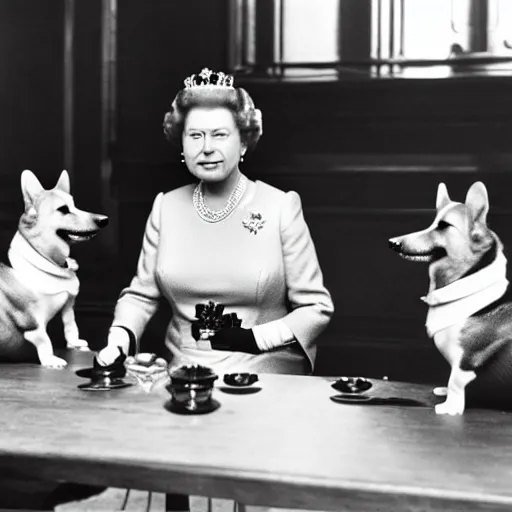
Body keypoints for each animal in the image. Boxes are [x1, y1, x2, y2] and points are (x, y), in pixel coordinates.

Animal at [0, 171, 108, 368]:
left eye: (75, 205)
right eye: (63, 209)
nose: (104, 220)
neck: (46, 260)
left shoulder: (69, 303)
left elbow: (71, 325)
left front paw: (76, 343)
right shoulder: (33, 323)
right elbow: (45, 340)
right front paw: (51, 359)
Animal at [388, 182, 512, 414]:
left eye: (444, 226)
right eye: (433, 222)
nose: (393, 243)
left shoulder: (466, 361)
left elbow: (455, 381)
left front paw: (449, 407)